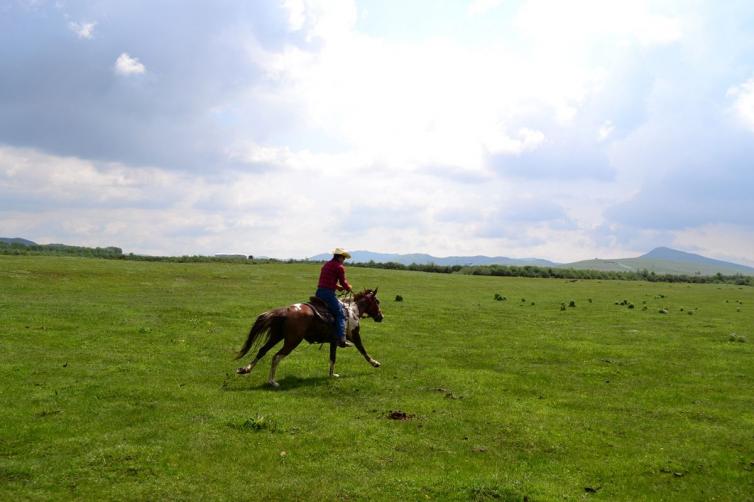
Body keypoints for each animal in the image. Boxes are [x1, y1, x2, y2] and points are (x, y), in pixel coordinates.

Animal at [234, 286, 382, 388]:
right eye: (377, 302)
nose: (381, 317)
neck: (353, 310)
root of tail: (286, 311)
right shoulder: (355, 335)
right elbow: (363, 350)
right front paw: (375, 363)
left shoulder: (334, 342)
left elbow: (332, 358)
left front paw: (331, 375)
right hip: (292, 341)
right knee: (276, 356)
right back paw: (272, 381)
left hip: (277, 336)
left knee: (262, 350)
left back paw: (245, 369)